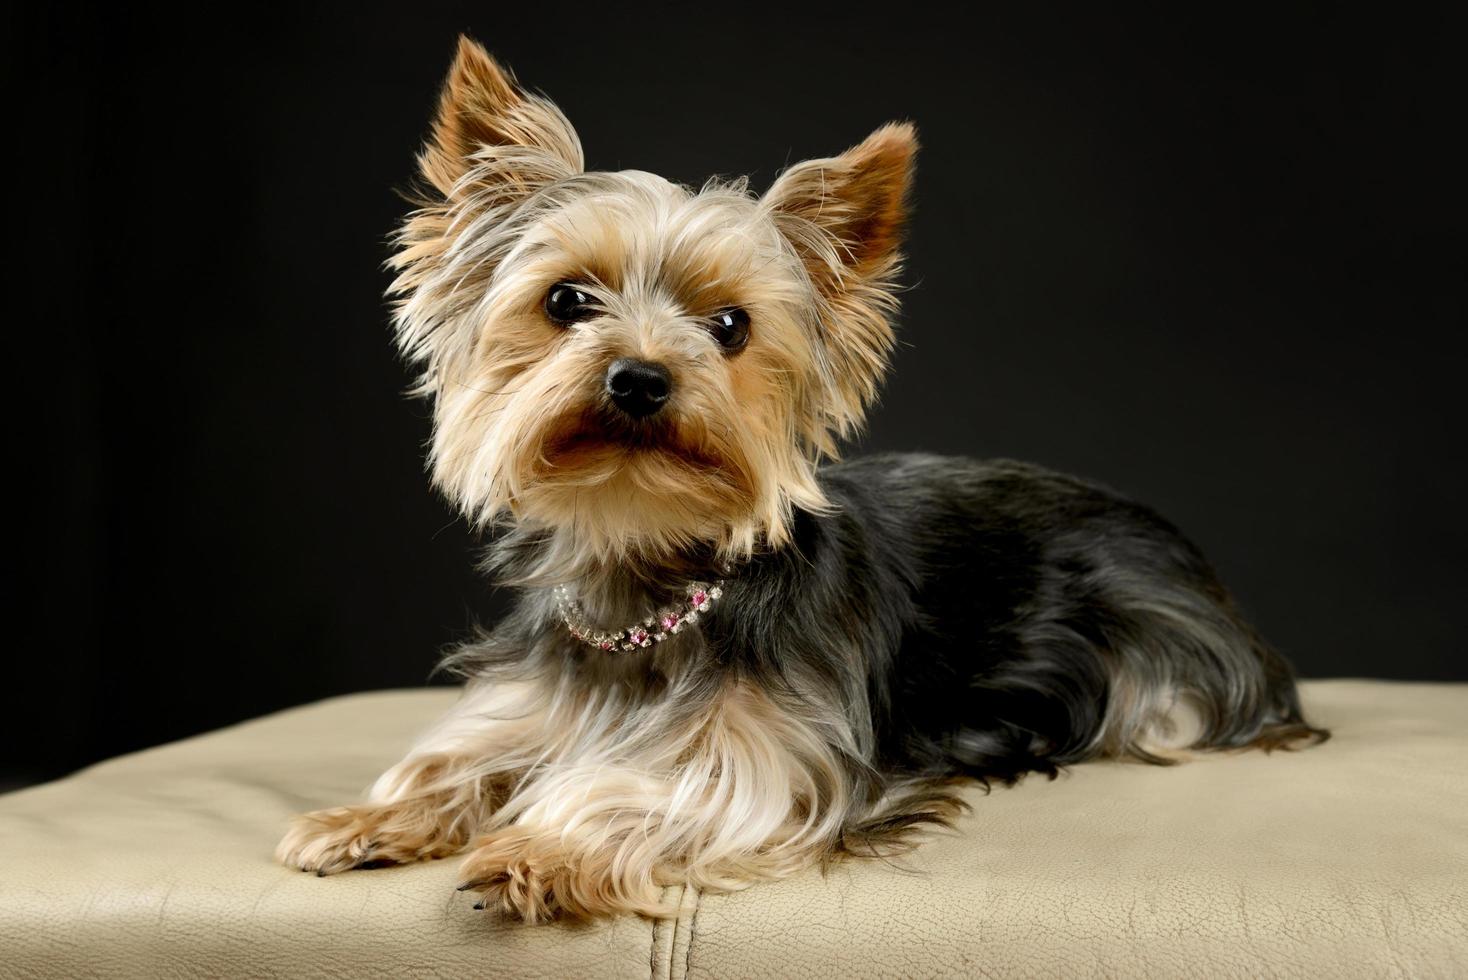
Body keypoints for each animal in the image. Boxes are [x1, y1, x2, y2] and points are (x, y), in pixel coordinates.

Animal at [275, 36, 1332, 921]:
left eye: (731, 326)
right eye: (566, 300)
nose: (641, 378)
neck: (646, 570)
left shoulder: (779, 761)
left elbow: (662, 787)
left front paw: (543, 849)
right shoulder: (539, 699)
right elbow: (465, 752)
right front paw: (358, 821)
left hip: (1167, 675)